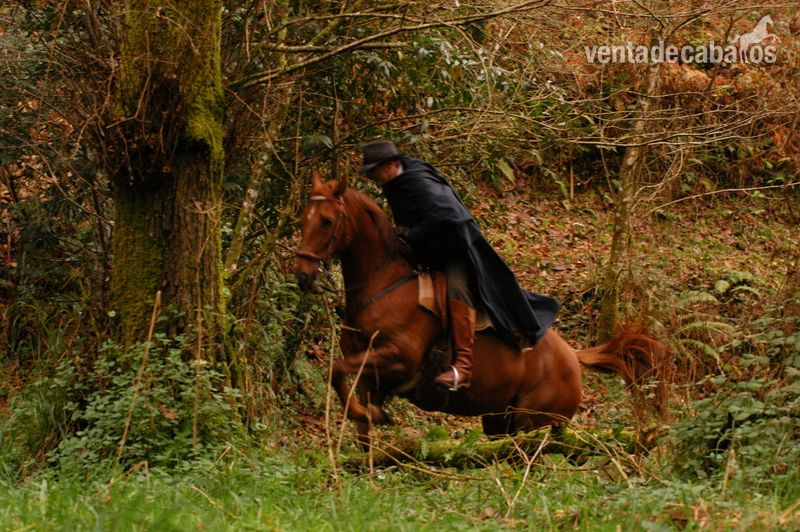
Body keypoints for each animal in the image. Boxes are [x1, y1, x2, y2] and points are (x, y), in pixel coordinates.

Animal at [295, 172, 663, 446]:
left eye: (326, 221)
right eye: (302, 219)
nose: (303, 275)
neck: (383, 285)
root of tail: (573, 356)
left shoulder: (398, 359)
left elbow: (336, 371)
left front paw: (363, 415)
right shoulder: (368, 376)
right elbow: (350, 402)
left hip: (532, 423)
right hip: (500, 421)